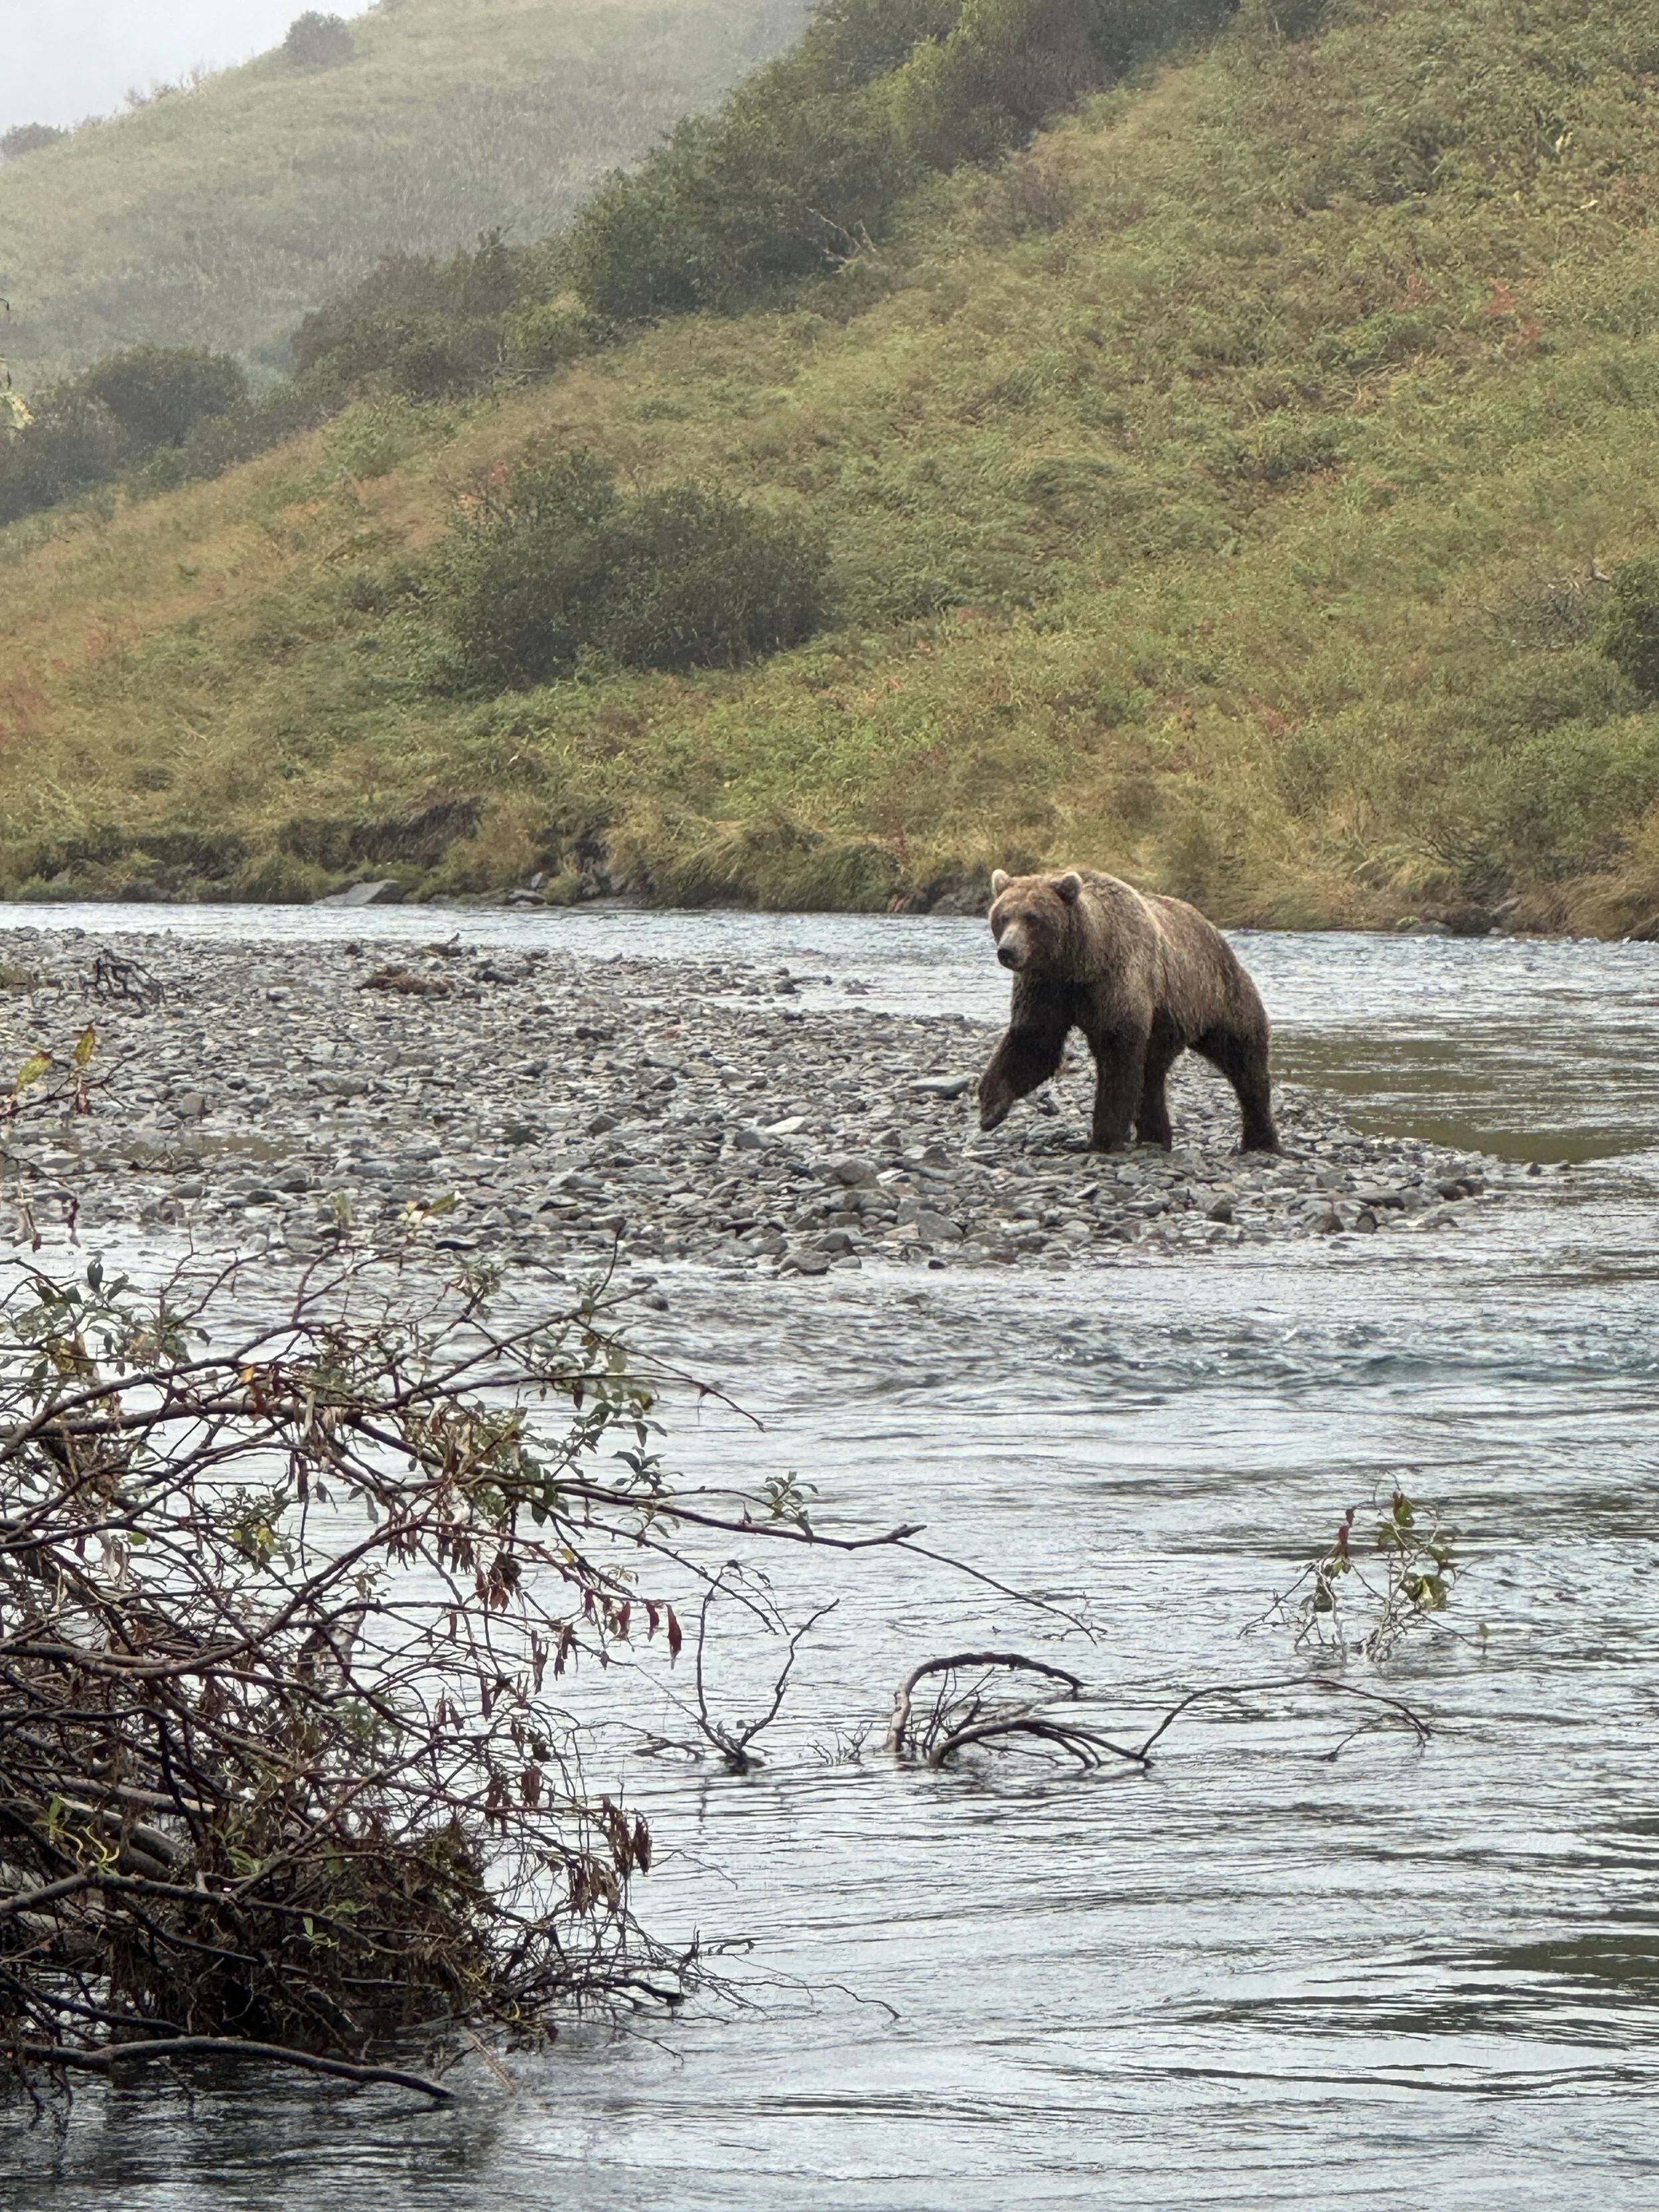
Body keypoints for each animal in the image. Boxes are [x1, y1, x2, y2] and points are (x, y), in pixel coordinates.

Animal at [977, 867, 1278, 1153]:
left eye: (1032, 918)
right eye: (1003, 916)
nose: (1008, 950)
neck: (1081, 961)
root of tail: (1213, 930)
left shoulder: (1117, 980)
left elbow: (1117, 1054)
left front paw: (1106, 1136)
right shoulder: (1046, 987)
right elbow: (1033, 1040)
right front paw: (992, 1107)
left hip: (1215, 994)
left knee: (1244, 1057)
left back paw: (1261, 1139)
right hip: (1167, 1021)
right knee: (1153, 1074)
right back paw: (1156, 1135)